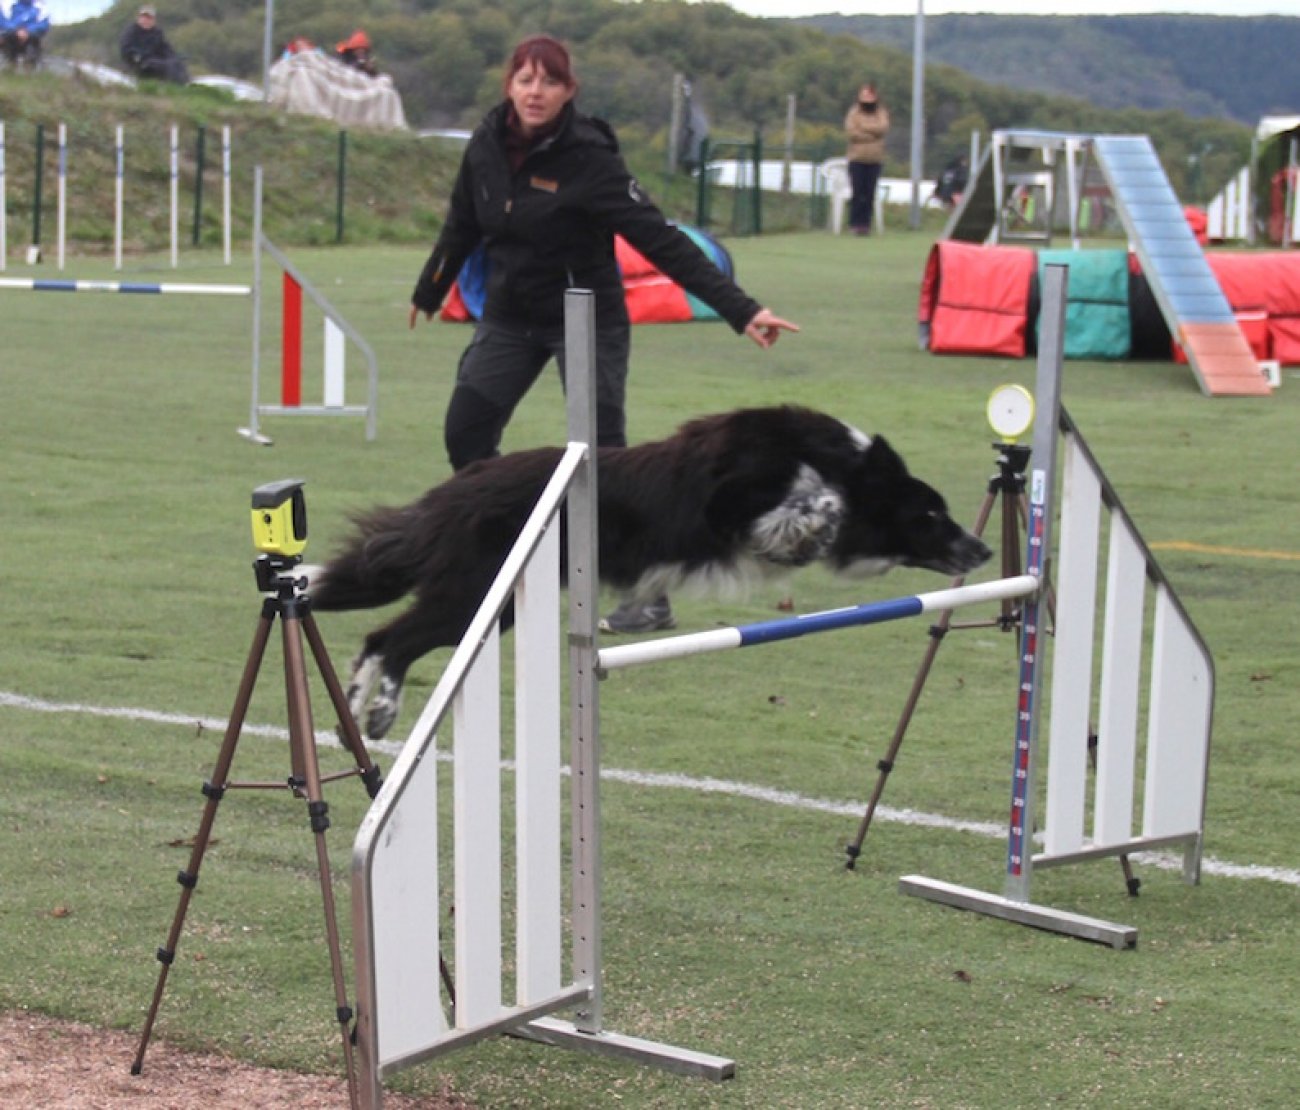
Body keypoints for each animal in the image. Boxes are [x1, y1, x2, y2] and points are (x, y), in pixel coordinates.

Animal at [309, 405, 987, 738]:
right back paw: (374, 709)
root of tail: (452, 490)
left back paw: (358, 711)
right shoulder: (728, 499)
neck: (845, 461)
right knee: (390, 639)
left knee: (382, 639)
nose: (982, 550)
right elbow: (816, 502)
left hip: (488, 607)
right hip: (475, 597)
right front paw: (817, 522)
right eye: (931, 513)